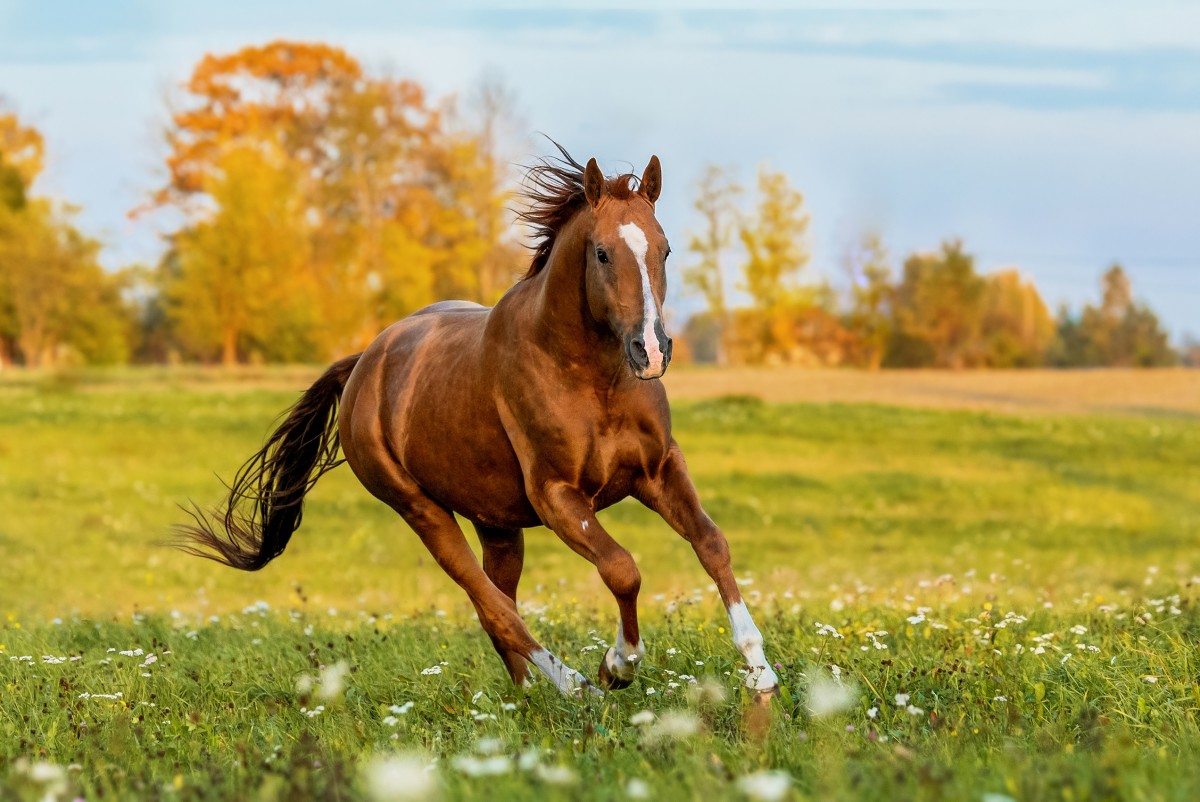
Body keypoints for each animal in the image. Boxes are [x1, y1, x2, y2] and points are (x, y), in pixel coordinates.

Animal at [177, 147, 777, 696]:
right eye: (603, 253)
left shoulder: (658, 470)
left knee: (499, 602)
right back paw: (574, 687)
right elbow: (621, 568)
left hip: (497, 524)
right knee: (494, 608)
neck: (592, 379)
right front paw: (618, 665)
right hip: (422, 512)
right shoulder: (557, 496)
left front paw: (760, 672)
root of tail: (364, 363)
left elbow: (711, 542)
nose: (650, 350)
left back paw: (528, 694)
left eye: (665, 249)